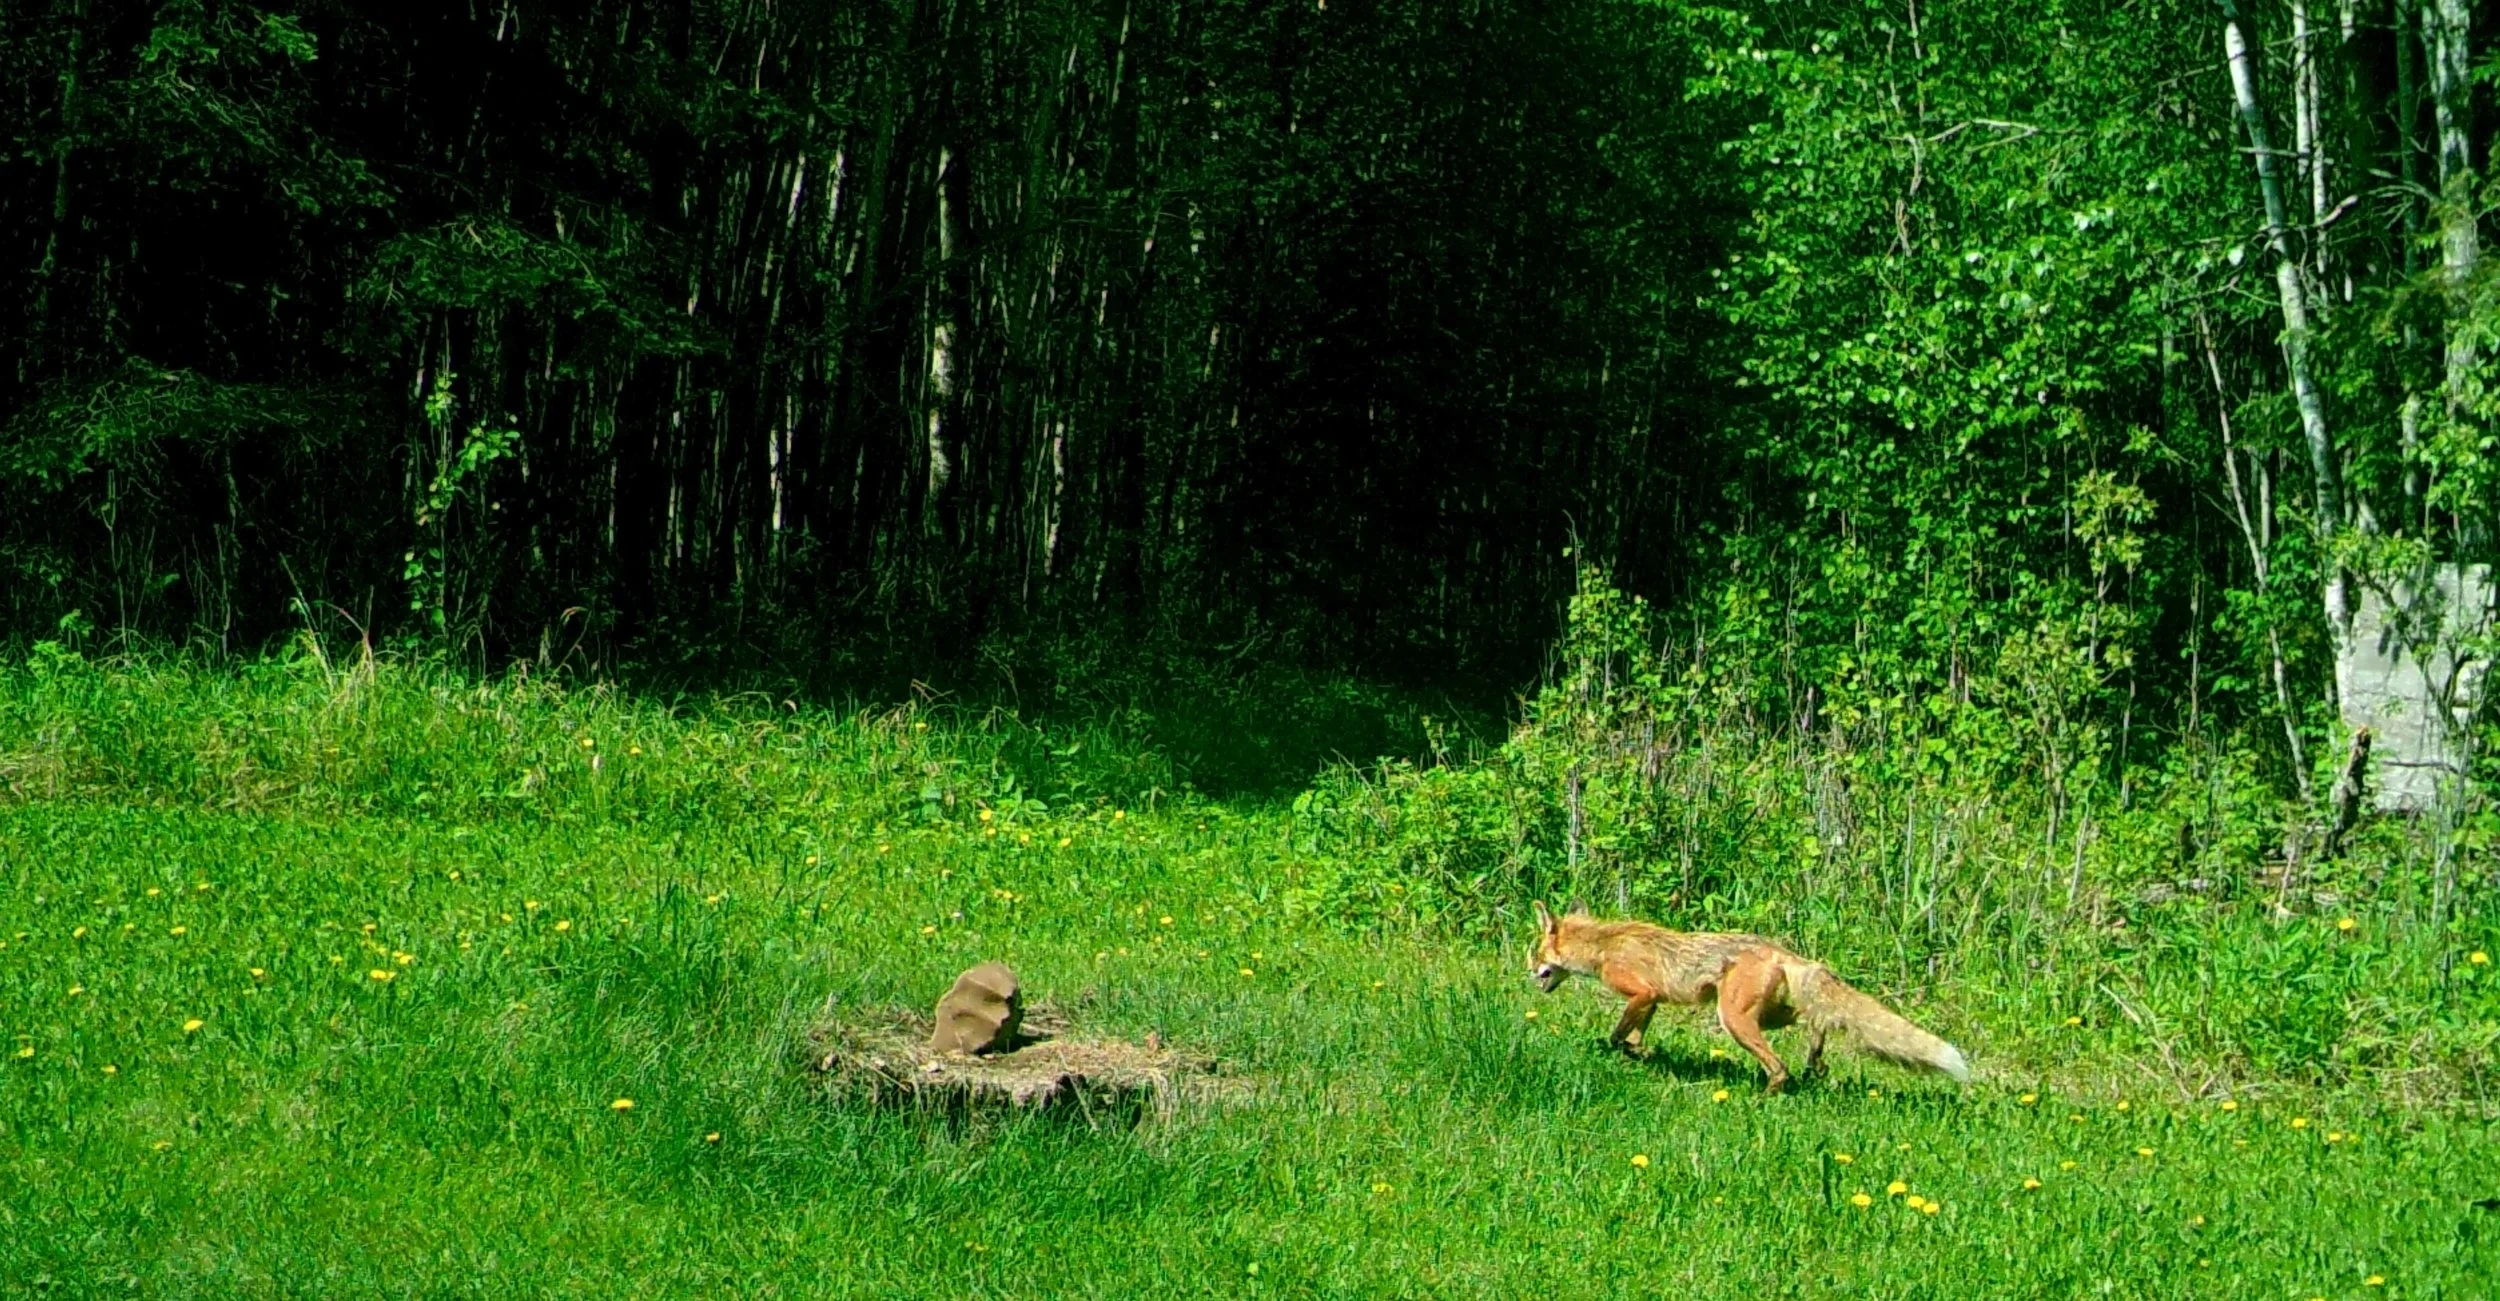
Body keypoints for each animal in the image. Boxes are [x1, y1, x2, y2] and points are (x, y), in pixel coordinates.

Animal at [1527, 900, 1969, 1093]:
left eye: (1536, 955)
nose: (1529, 977)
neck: (1604, 946)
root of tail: (1785, 952)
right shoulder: (1651, 1002)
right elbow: (1635, 1037)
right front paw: (1641, 1054)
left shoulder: (1641, 992)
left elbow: (1618, 1033)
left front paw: (1620, 1049)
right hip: (1764, 1016)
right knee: (1815, 1018)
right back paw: (1816, 1061)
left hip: (1734, 1020)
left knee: (1780, 1067)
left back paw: (1768, 1098)